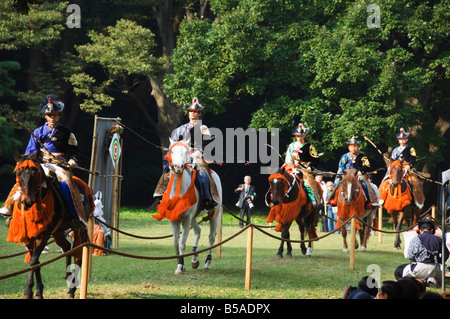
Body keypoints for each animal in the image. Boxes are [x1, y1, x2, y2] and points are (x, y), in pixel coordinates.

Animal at [5, 154, 93, 298]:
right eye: (18, 173)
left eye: (36, 174)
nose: (27, 202)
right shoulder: (30, 236)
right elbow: (35, 261)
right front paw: (37, 291)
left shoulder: (45, 234)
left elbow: (33, 261)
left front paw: (30, 291)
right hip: (58, 232)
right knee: (67, 247)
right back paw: (68, 276)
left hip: (81, 228)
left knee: (79, 255)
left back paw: (72, 290)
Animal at [162, 139, 223, 276]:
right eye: (172, 151)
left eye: (186, 152)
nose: (178, 167)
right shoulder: (174, 220)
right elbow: (175, 243)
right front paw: (181, 265)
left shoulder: (186, 219)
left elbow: (182, 244)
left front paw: (179, 267)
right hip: (194, 217)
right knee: (198, 231)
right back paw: (194, 259)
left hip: (214, 214)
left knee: (211, 237)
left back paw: (207, 264)